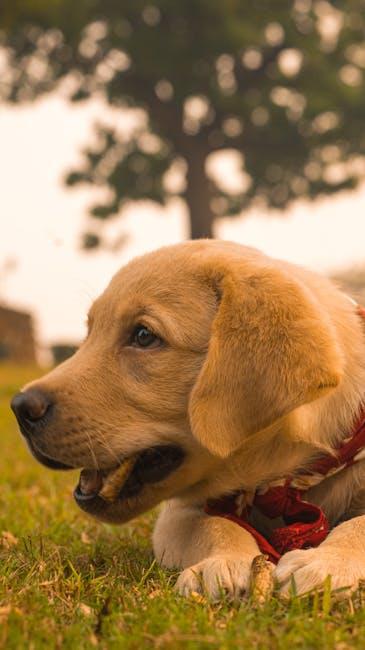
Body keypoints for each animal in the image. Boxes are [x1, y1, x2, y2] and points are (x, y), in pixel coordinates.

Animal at [9, 239, 364, 596]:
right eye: (90, 333)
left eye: (143, 336)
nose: (20, 408)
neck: (281, 484)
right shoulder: (178, 514)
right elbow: (214, 525)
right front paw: (223, 563)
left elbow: (358, 524)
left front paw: (327, 564)